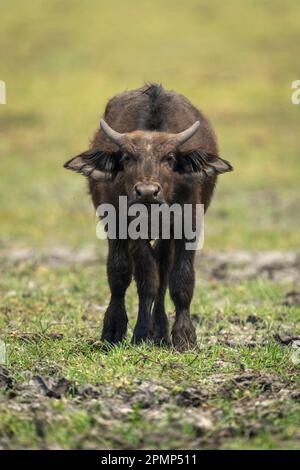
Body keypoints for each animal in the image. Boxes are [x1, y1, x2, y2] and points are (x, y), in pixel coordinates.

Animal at [63, 82, 232, 350]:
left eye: (169, 158)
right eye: (126, 157)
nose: (147, 192)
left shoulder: (189, 226)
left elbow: (180, 279)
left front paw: (184, 337)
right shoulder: (121, 225)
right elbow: (134, 275)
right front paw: (125, 331)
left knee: (164, 273)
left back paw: (161, 331)